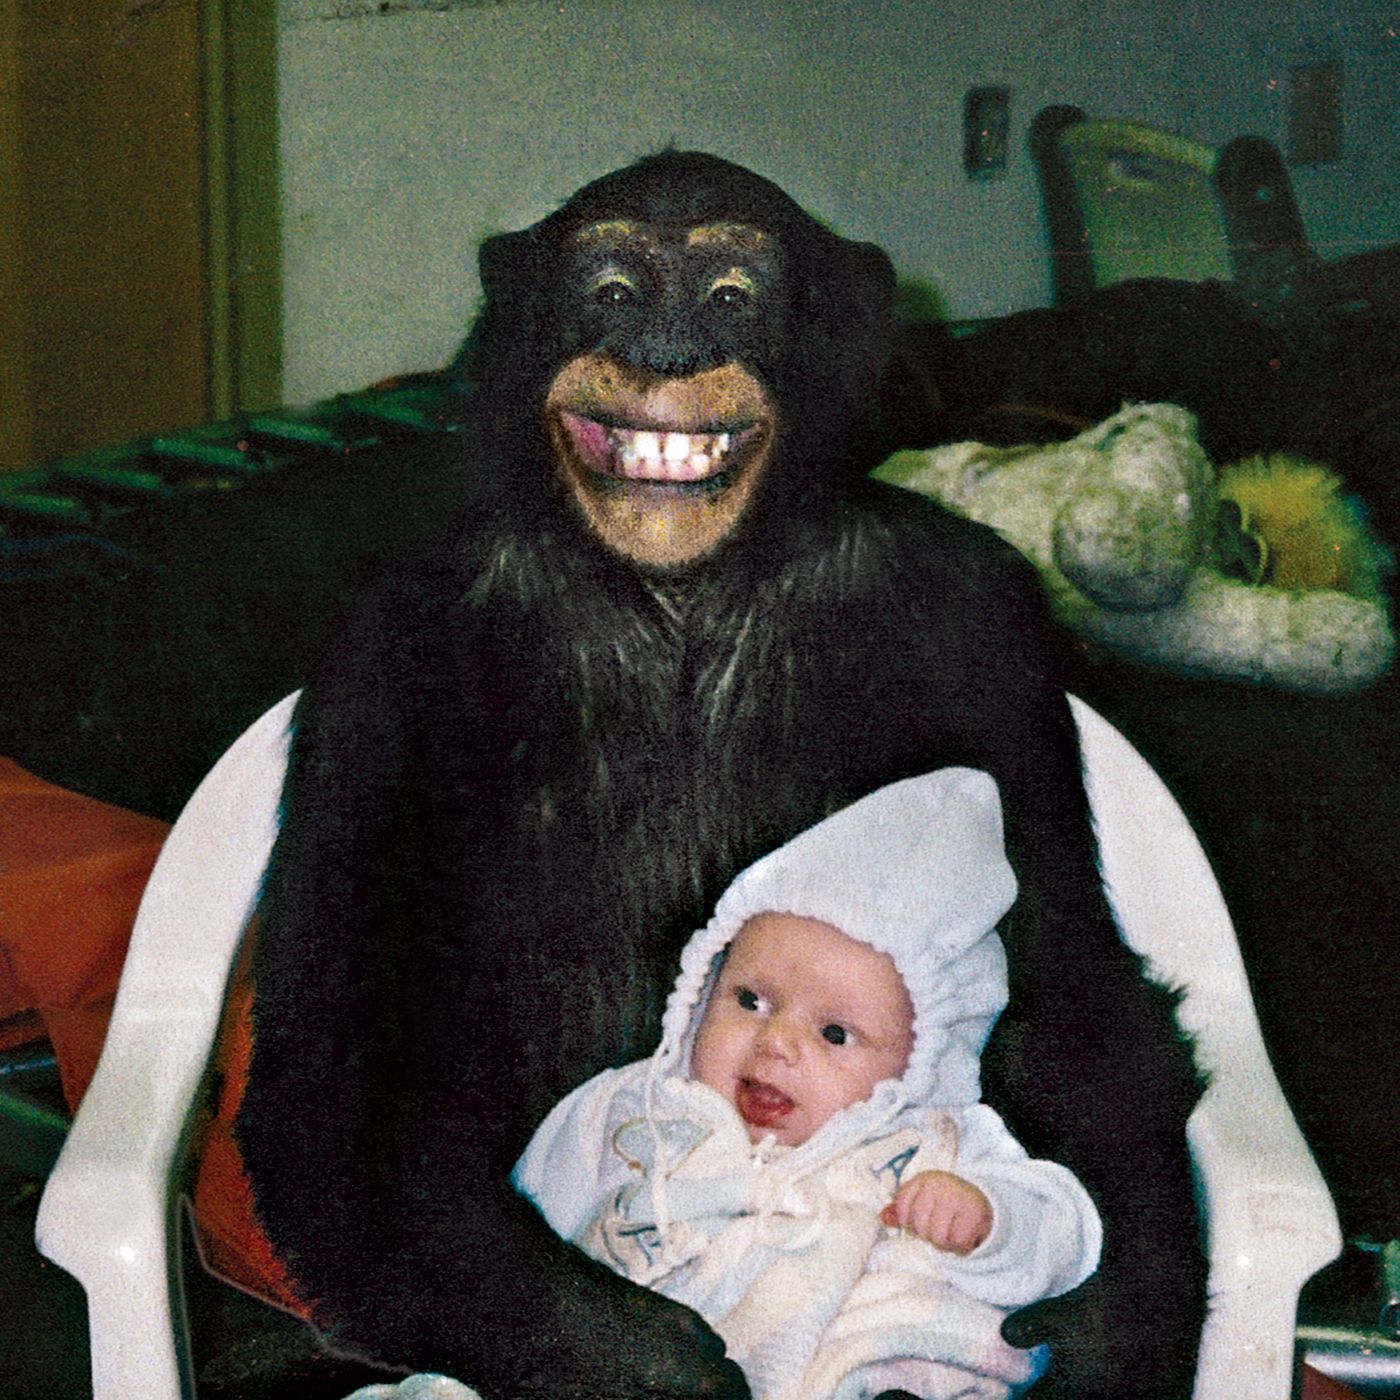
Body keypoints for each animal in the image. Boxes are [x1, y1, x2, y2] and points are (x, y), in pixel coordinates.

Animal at [238, 153, 1204, 1400]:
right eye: (607, 287)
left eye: (730, 295)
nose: (662, 345)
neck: (682, 593)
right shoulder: (376, 657)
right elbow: (332, 1064)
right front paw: (637, 1357)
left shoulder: (983, 617)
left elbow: (1073, 982)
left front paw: (1101, 1326)